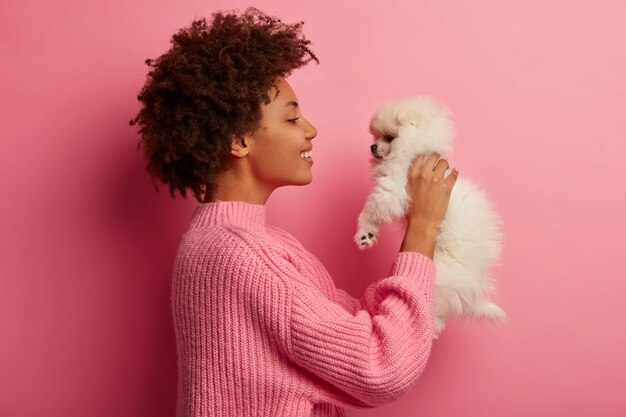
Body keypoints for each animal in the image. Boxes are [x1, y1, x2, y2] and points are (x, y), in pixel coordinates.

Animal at [354, 96, 504, 336]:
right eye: (376, 136)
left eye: (389, 137)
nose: (372, 146)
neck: (414, 151)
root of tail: (474, 280)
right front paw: (367, 235)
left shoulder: (393, 187)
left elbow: (373, 208)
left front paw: (364, 233)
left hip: (442, 272)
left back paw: (430, 327)